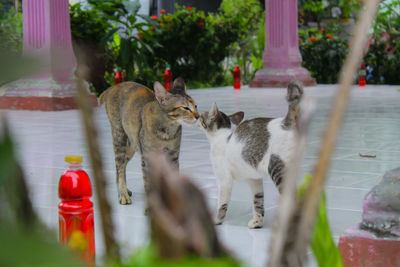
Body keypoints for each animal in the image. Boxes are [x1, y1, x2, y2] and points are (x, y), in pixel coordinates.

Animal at [100, 78, 200, 206]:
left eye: (196, 106)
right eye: (185, 108)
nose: (198, 116)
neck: (167, 131)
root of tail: (113, 87)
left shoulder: (172, 155)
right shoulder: (147, 157)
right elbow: (148, 182)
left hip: (132, 145)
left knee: (120, 166)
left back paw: (124, 190)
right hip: (120, 136)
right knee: (120, 165)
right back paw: (122, 194)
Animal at [200, 80, 304, 229]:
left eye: (202, 117)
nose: (197, 116)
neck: (222, 136)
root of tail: (285, 123)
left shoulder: (224, 180)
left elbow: (222, 204)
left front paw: (217, 220)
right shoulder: (255, 180)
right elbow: (258, 202)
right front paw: (257, 222)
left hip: (277, 169)